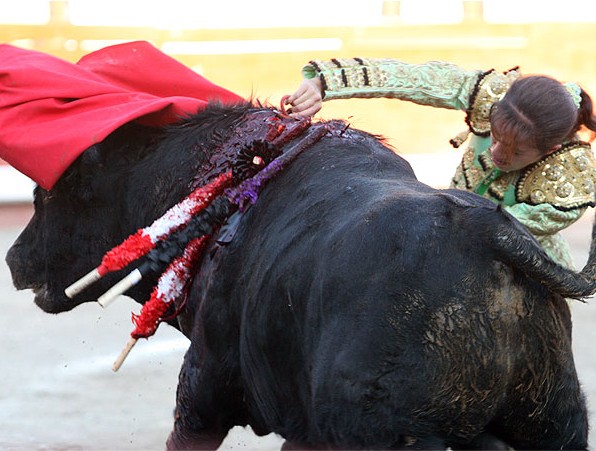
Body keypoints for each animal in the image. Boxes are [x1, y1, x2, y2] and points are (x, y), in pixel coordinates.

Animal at [4, 102, 596, 448]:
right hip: (556, 422)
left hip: (385, 435)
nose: (12, 259)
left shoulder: (202, 392)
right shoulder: (303, 426)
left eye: (46, 194)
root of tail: (485, 233)